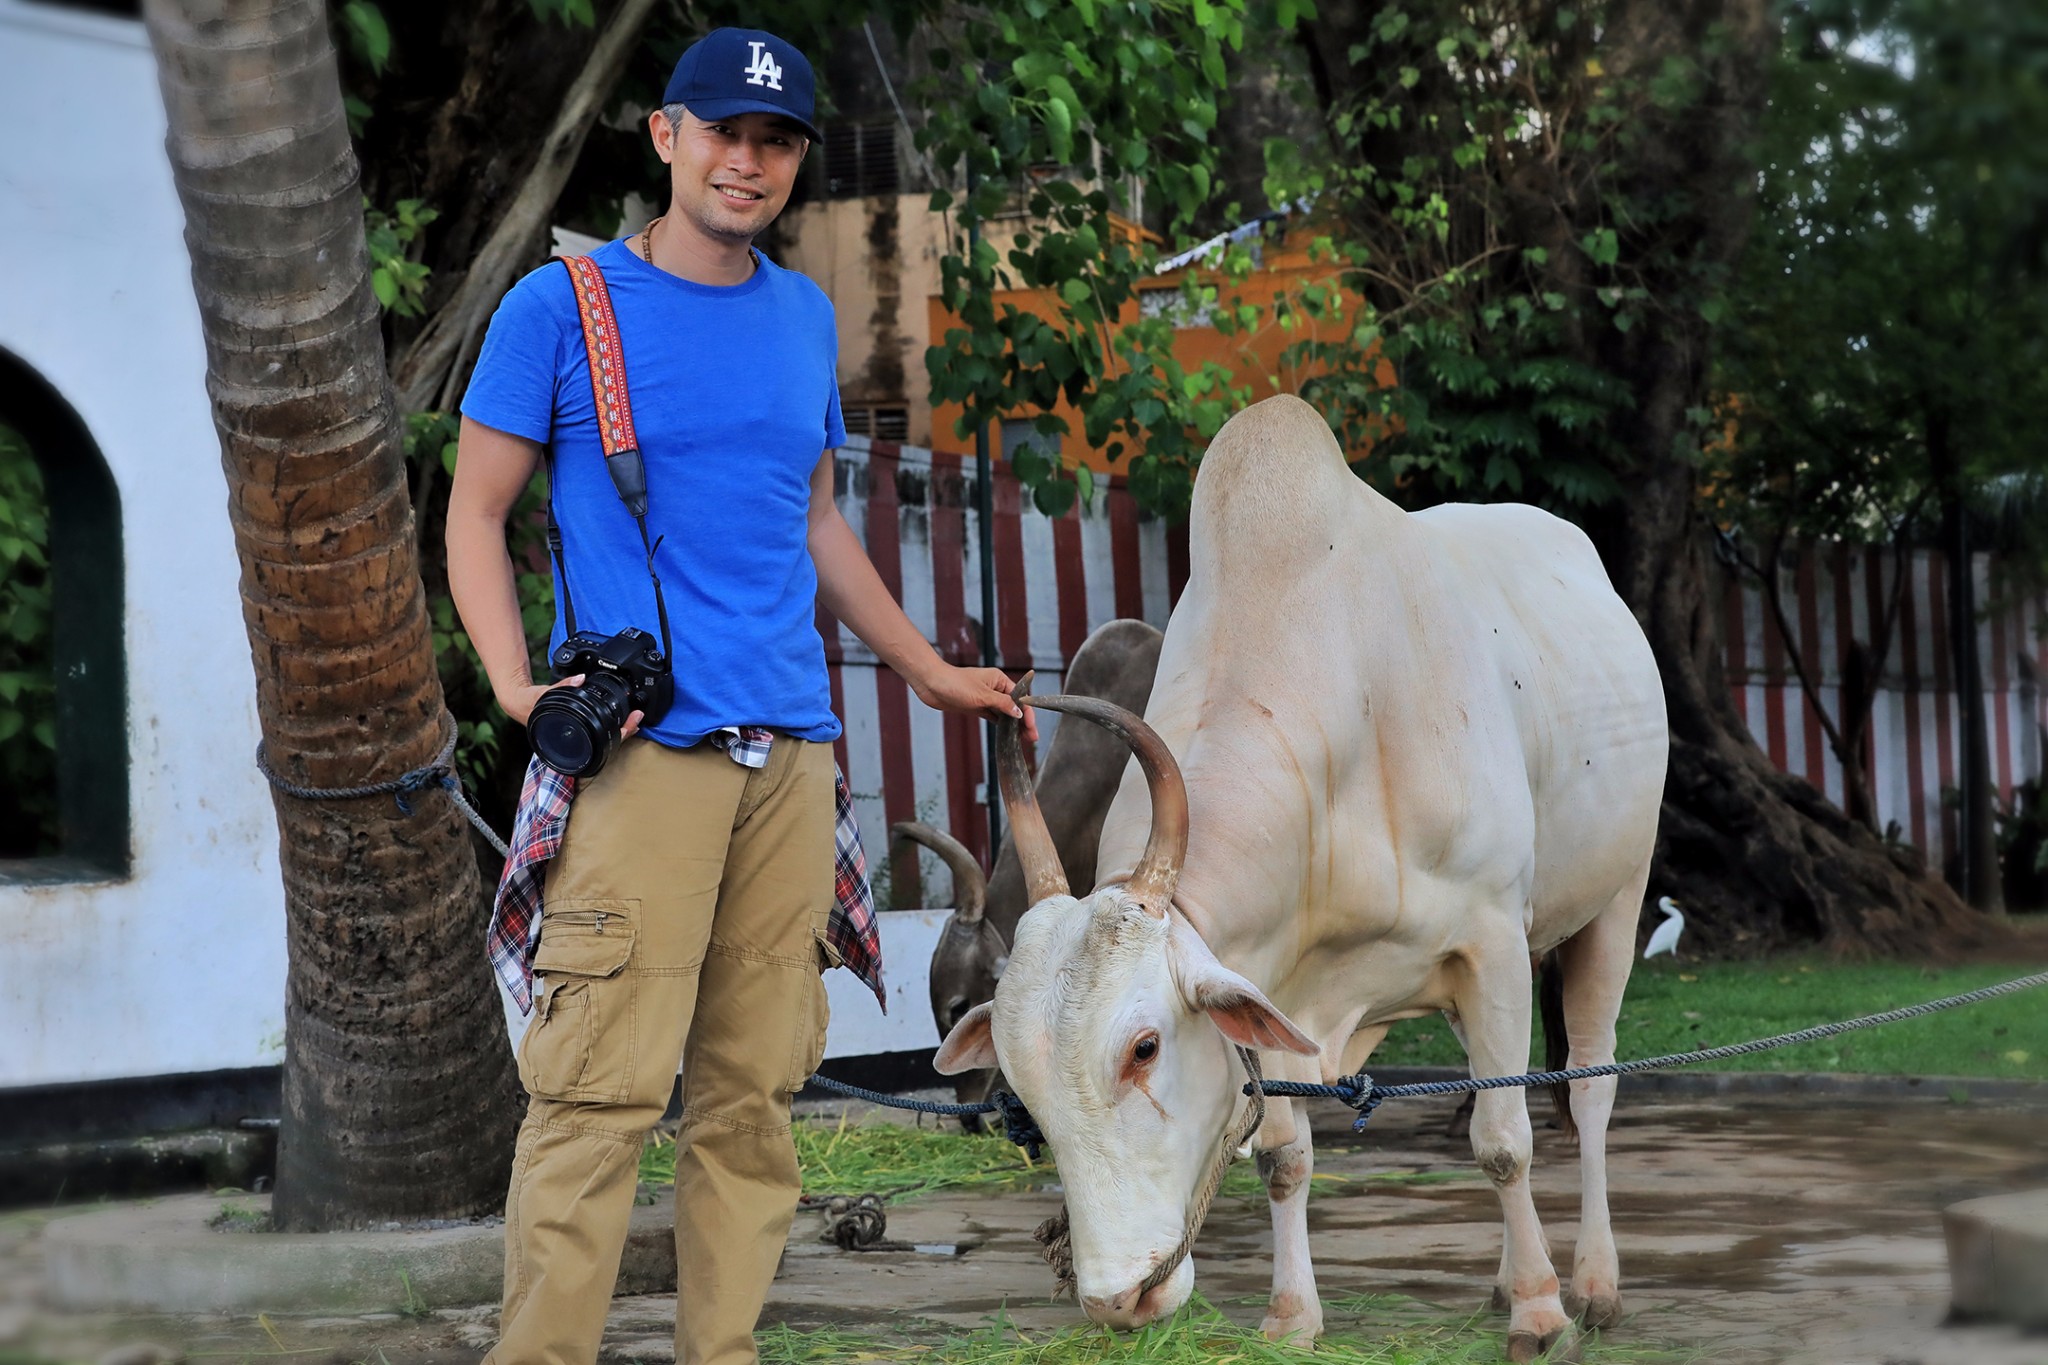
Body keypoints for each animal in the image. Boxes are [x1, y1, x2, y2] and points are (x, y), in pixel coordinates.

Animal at [937, 392, 1671, 1358]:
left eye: (1144, 1046)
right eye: (1020, 1081)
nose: (1116, 1299)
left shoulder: (1493, 945)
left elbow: (1504, 1139)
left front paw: (1543, 1316)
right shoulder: (1270, 981)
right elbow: (1286, 1155)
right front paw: (1291, 1315)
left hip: (1616, 896)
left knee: (1587, 1086)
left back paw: (1590, 1282)